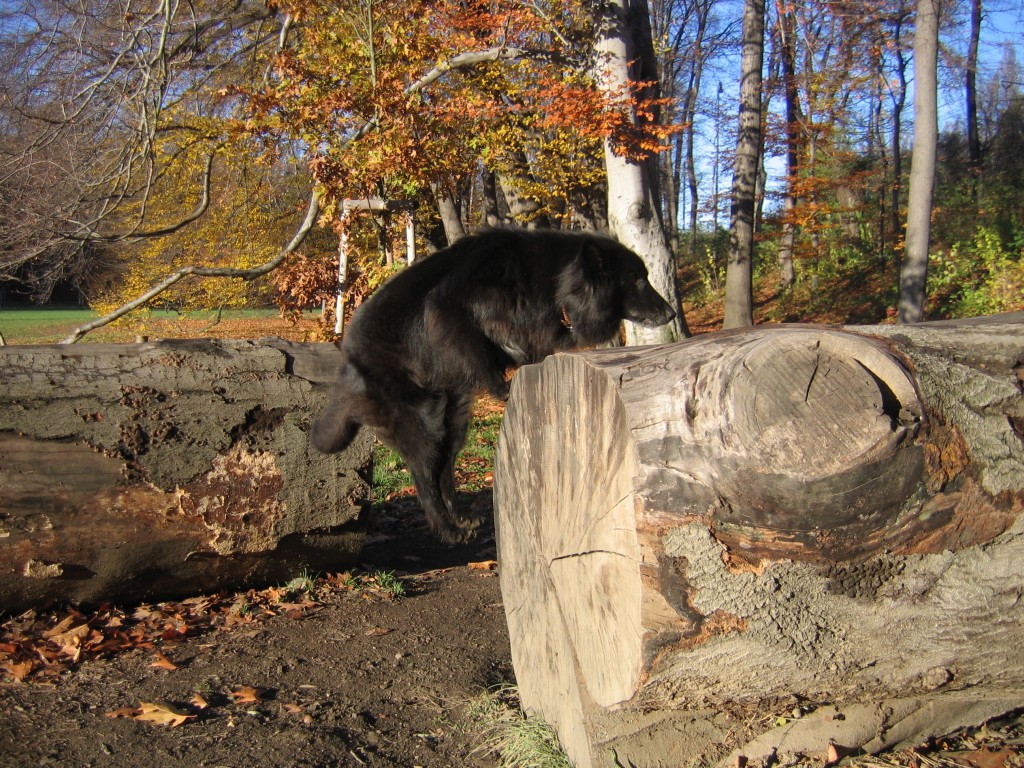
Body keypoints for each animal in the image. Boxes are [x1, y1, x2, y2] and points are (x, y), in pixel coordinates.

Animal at [313, 227, 679, 540]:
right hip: (420, 425)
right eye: (637, 280)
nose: (672, 313)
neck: (549, 283)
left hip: (452, 422)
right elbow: (474, 347)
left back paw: (461, 519)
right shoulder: (448, 307)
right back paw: (449, 531)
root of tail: (347, 365)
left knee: (443, 473)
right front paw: (501, 386)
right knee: (424, 480)